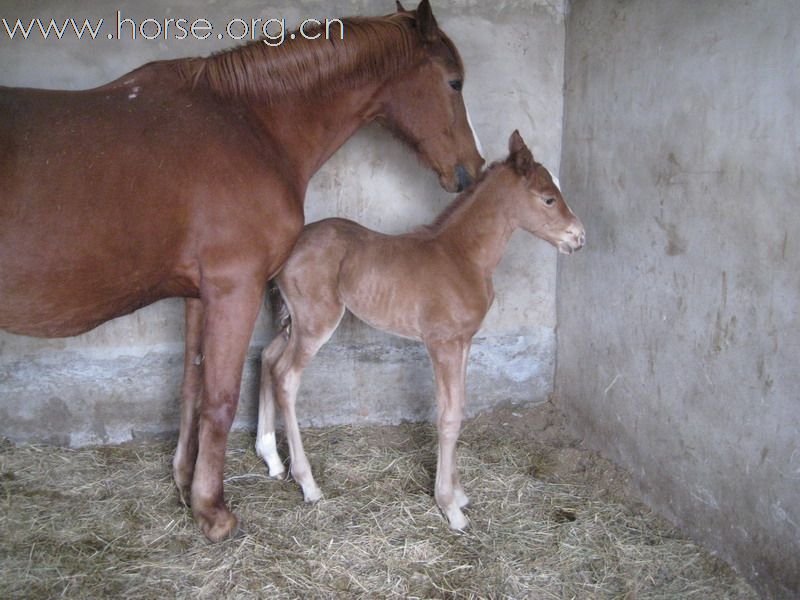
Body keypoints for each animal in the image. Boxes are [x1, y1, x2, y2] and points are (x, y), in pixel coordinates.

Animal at [0, 1, 482, 544]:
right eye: (454, 82)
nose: (472, 168)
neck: (250, 124)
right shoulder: (236, 287)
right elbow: (222, 398)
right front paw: (213, 511)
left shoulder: (196, 293)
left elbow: (191, 386)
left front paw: (185, 482)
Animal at [260, 131, 584, 528]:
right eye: (549, 198)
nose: (578, 237)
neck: (462, 256)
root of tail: (289, 249)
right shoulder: (442, 343)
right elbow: (448, 417)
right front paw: (449, 506)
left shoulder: (463, 341)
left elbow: (458, 406)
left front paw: (459, 493)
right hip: (316, 321)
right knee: (286, 377)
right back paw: (308, 484)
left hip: (294, 322)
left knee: (268, 357)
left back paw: (272, 460)